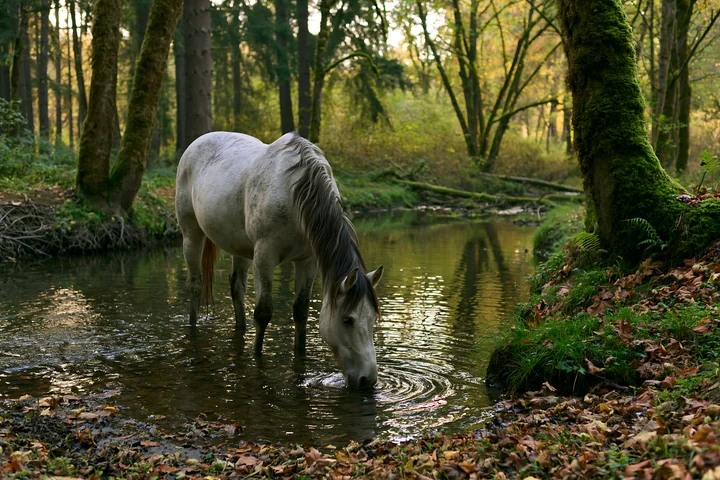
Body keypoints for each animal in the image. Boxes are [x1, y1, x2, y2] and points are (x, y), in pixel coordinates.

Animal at [175, 132, 384, 389]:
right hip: (191, 232)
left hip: (239, 246)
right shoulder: (265, 256)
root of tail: (197, 141)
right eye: (347, 320)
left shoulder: (307, 261)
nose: (368, 380)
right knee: (195, 283)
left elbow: (301, 310)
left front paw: (300, 353)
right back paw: (193, 327)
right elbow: (264, 312)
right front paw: (257, 357)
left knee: (237, 287)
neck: (294, 193)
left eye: (373, 319)